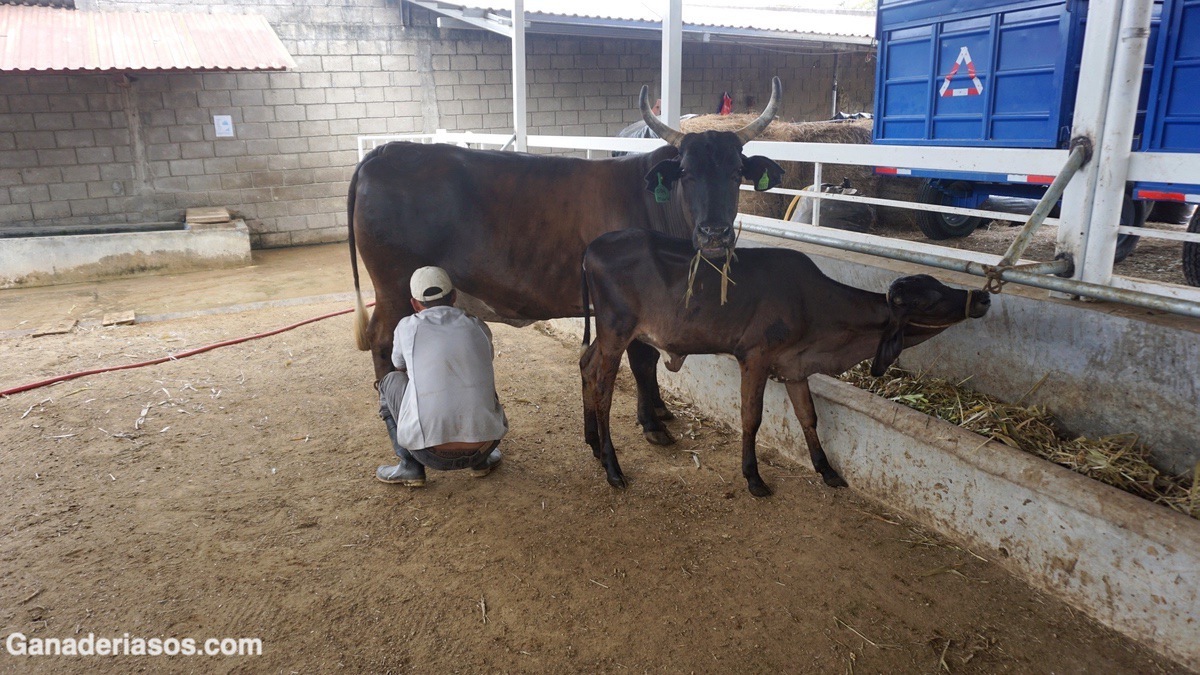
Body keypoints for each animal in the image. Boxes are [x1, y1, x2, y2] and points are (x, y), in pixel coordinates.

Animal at [350, 77, 787, 441]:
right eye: (686, 171)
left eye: (736, 171)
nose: (715, 233)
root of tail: (385, 151)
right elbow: (644, 361)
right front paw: (652, 424)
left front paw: (661, 412)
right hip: (393, 285)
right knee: (381, 339)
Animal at [576, 228, 988, 497]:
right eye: (932, 298)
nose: (982, 297)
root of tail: (592, 247)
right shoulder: (755, 357)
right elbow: (751, 418)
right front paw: (753, 477)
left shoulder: (795, 366)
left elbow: (808, 417)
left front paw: (826, 469)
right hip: (616, 331)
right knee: (603, 388)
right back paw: (612, 467)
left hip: (607, 334)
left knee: (585, 364)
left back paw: (594, 445)